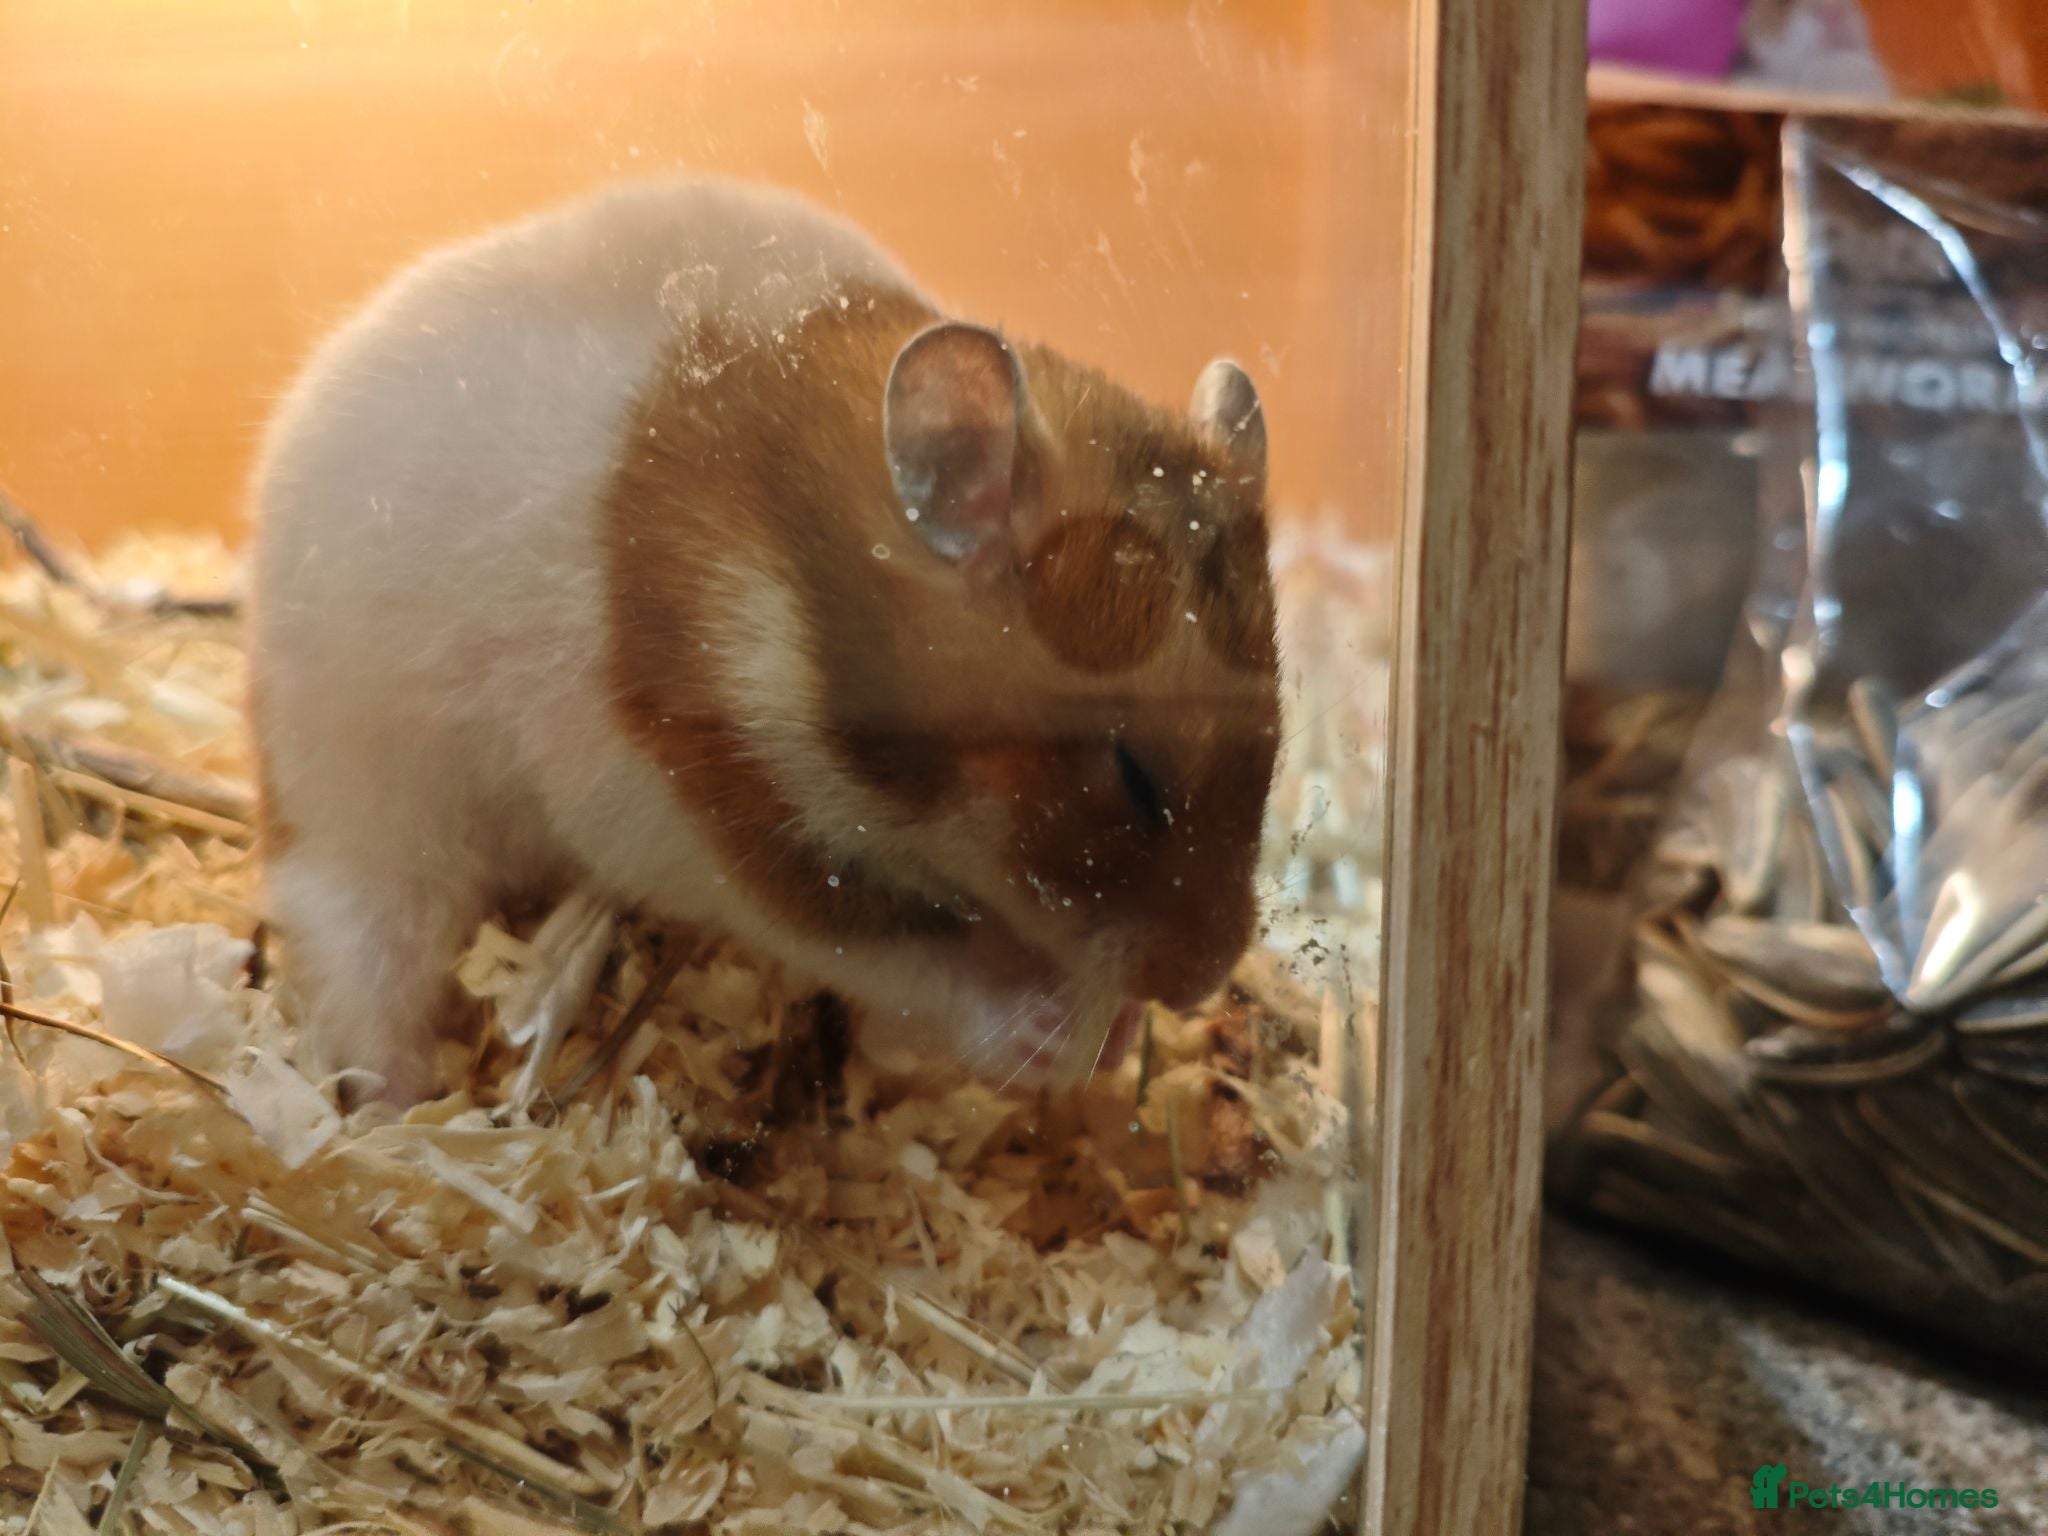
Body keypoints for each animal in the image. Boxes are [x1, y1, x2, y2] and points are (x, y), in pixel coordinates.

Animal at [247, 175, 1281, 1105]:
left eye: (1273, 748)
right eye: (1133, 773)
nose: (1202, 979)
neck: (802, 587)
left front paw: (1115, 1038)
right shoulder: (719, 827)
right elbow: (901, 955)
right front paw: (1045, 1032)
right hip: (368, 812)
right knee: (360, 955)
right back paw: (403, 1109)